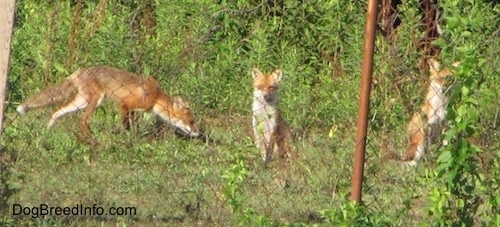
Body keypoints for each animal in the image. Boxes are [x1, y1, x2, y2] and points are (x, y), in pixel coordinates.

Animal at [17, 66, 201, 138]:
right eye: (191, 121)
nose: (198, 133)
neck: (156, 97)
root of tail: (79, 71)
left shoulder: (133, 110)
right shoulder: (126, 104)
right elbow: (127, 126)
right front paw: (128, 139)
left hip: (81, 102)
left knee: (57, 112)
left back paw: (47, 132)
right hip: (95, 101)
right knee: (83, 121)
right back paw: (93, 140)